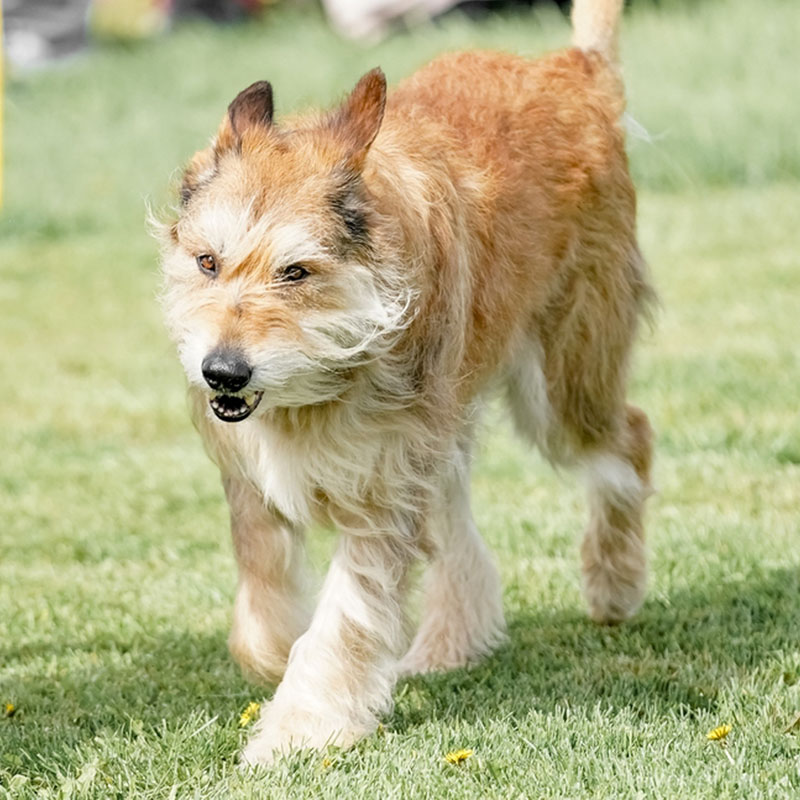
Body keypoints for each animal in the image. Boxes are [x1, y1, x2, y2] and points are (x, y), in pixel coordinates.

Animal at [156, 0, 656, 764]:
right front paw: (272, 654)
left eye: (296, 272)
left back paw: (613, 581)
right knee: (455, 521)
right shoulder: (255, 470)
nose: (222, 370)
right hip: (445, 422)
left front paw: (298, 730)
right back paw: (454, 641)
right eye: (207, 261)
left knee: (628, 439)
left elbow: (346, 615)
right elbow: (262, 571)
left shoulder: (381, 492)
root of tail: (574, 69)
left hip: (561, 380)